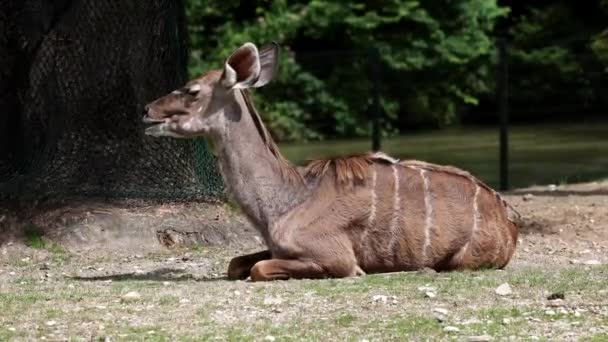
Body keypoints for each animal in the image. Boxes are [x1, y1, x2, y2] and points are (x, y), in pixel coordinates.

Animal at [142, 42, 516, 280]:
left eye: (191, 90)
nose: (146, 111)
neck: (285, 201)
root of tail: (508, 220)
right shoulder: (279, 249)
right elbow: (236, 263)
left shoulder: (334, 257)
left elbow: (257, 270)